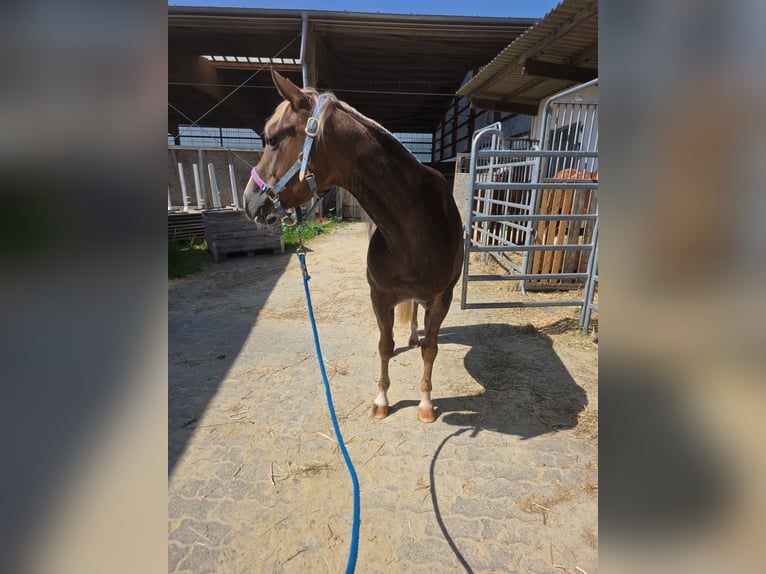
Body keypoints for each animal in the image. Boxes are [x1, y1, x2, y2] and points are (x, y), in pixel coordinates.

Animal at [244, 70, 464, 423]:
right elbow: (385, 346)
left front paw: (426, 404)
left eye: (273, 139)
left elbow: (431, 349)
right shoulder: (380, 297)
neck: (415, 227)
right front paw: (381, 400)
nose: (249, 201)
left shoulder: (442, 298)